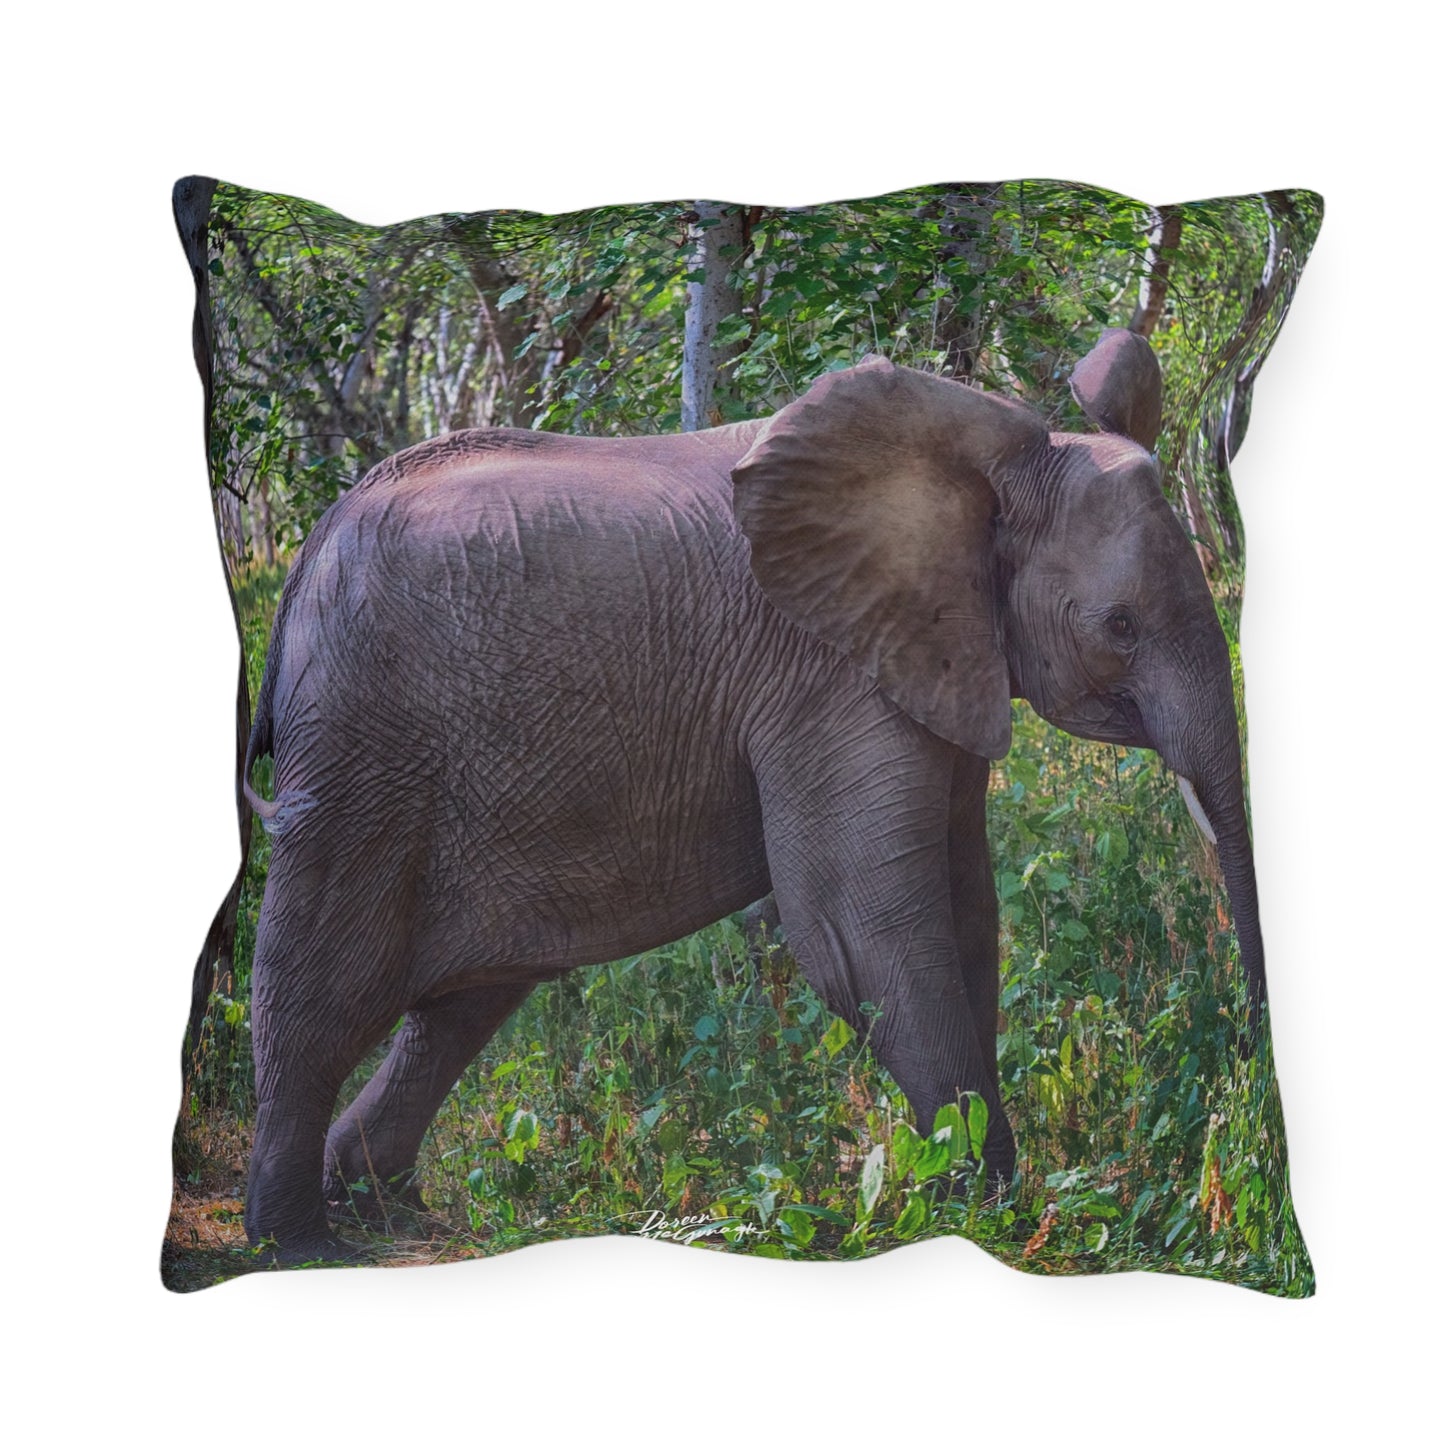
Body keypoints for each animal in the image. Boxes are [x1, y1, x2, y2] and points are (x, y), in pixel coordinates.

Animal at [236, 328, 1265, 1258]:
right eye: (1119, 627)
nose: (1248, 1087)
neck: (990, 469)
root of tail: (308, 555)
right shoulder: (827, 675)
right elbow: (861, 927)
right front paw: (983, 1209)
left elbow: (967, 909)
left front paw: (983, 1193)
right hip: (366, 745)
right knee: (317, 989)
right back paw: (299, 1243)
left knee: (464, 1003)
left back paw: (376, 1203)